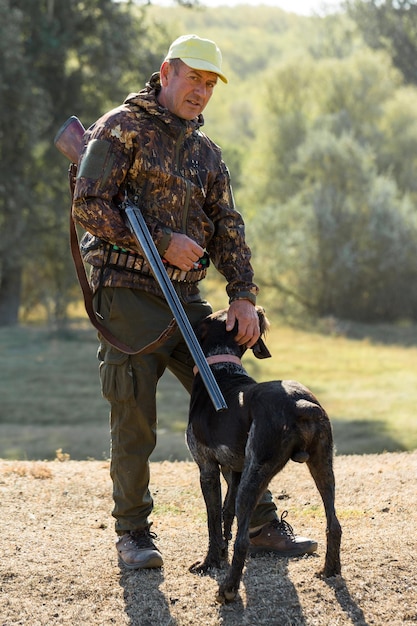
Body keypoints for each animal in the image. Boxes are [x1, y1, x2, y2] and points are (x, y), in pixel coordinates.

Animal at [187, 306, 340, 600]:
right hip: (322, 465)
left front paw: (210, 562)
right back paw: (330, 570)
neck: (221, 368)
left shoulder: (207, 468)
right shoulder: (234, 470)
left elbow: (213, 521)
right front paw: (220, 554)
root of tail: (299, 404)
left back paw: (228, 589)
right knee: (334, 524)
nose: (258, 309)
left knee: (243, 541)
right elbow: (226, 514)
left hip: (256, 474)